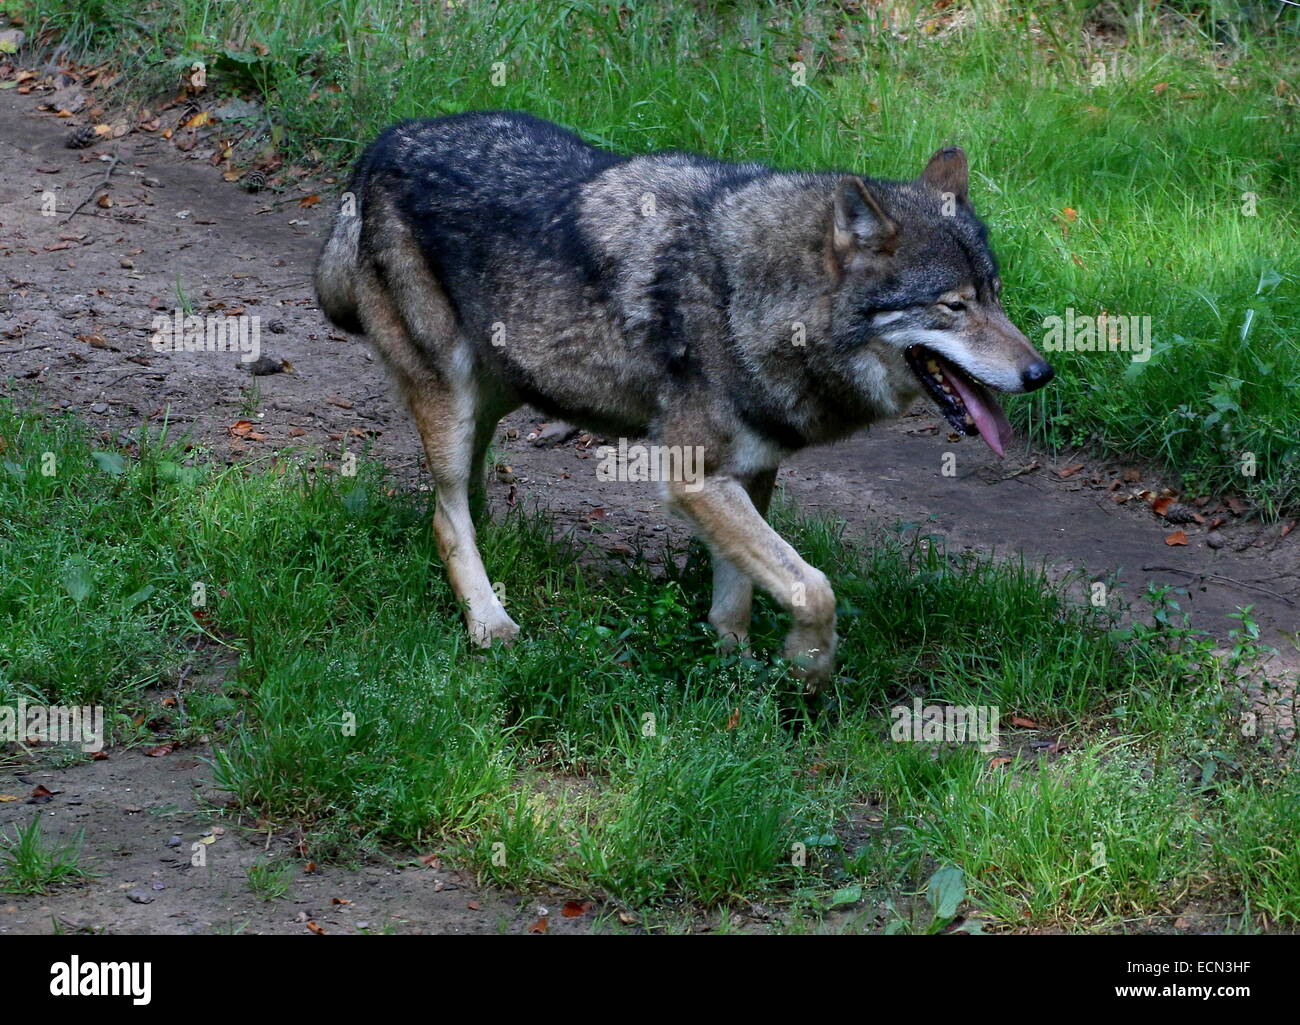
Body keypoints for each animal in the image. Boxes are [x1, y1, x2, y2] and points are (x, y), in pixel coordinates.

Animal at [314, 109, 1055, 686]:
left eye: (996, 294)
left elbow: (741, 592)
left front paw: (736, 668)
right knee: (444, 517)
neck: (748, 296)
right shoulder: (691, 475)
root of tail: (383, 143)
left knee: (464, 495)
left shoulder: (752, 470)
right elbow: (814, 587)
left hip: (499, 393)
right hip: (451, 396)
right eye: (955, 306)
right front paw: (807, 667)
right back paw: (489, 621)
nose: (1041, 372)